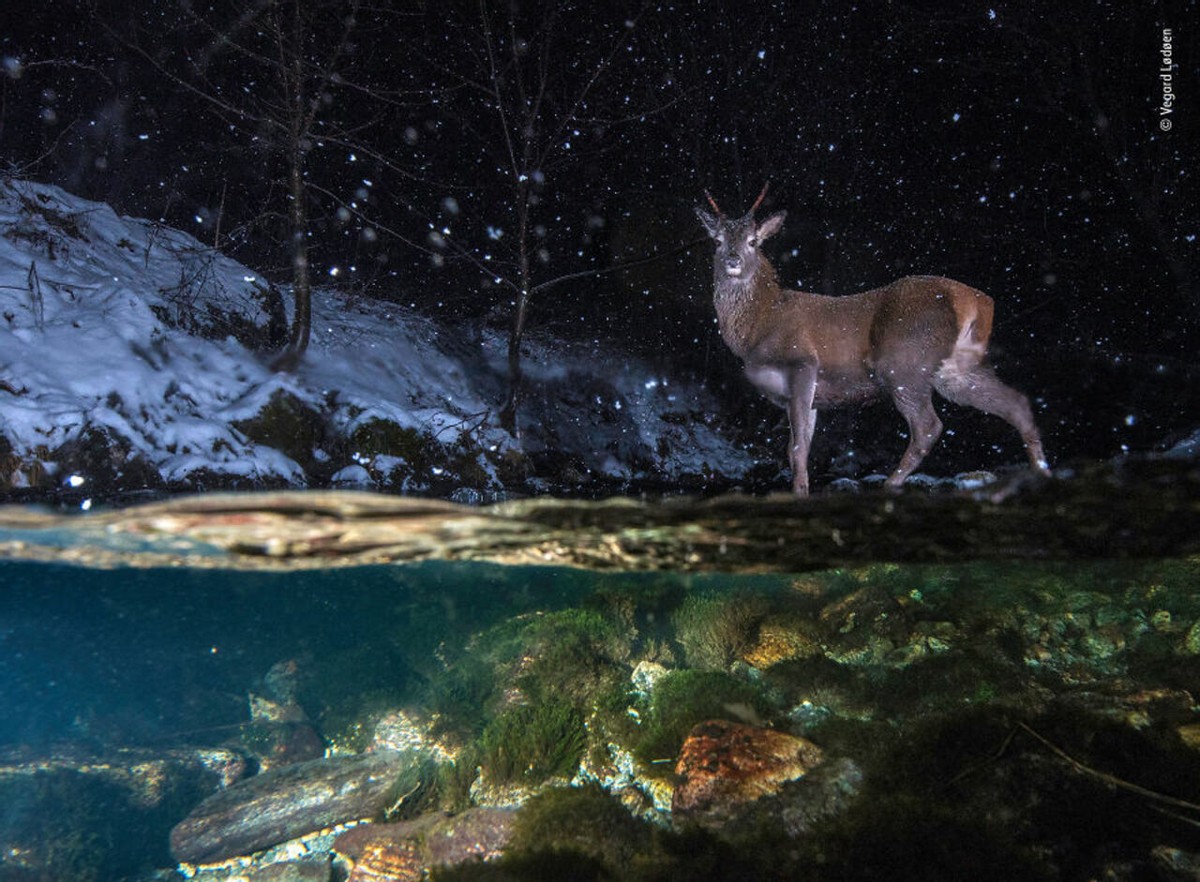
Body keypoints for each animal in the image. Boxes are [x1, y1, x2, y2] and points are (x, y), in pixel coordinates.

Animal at [696, 186, 1051, 496]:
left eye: (753, 241)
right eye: (717, 240)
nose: (732, 258)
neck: (758, 325)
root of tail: (976, 301)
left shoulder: (802, 362)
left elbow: (796, 448)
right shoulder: (810, 394)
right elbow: (801, 446)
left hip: (904, 362)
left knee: (928, 426)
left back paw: (891, 484)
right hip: (956, 369)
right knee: (1016, 403)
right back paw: (1041, 473)